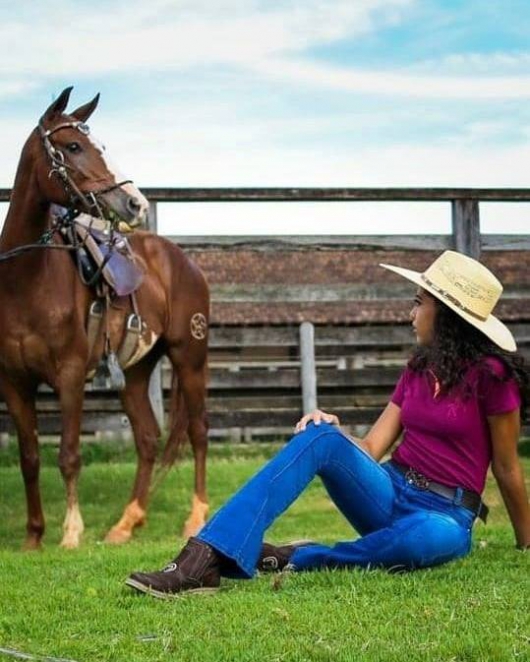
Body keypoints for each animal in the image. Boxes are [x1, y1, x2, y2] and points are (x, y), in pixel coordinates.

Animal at [1, 89, 208, 556]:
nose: (135, 202)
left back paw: (196, 517)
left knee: (199, 432)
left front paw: (71, 533)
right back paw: (126, 524)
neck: (24, 280)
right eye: (73, 146)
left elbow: (68, 455)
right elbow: (30, 458)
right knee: (148, 439)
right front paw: (33, 536)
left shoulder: (71, 374)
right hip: (135, 371)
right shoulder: (14, 382)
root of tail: (180, 260)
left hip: (190, 358)